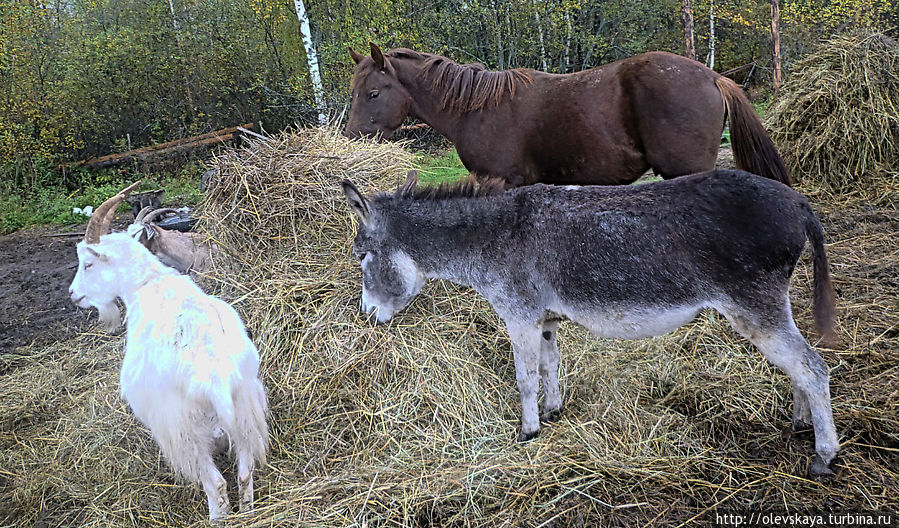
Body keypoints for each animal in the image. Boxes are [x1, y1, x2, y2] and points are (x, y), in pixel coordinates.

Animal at [69, 182, 268, 520]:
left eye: (88, 263)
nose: (74, 295)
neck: (148, 283)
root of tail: (216, 380)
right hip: (246, 416)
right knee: (244, 474)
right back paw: (248, 512)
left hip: (185, 433)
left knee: (215, 484)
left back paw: (215, 518)